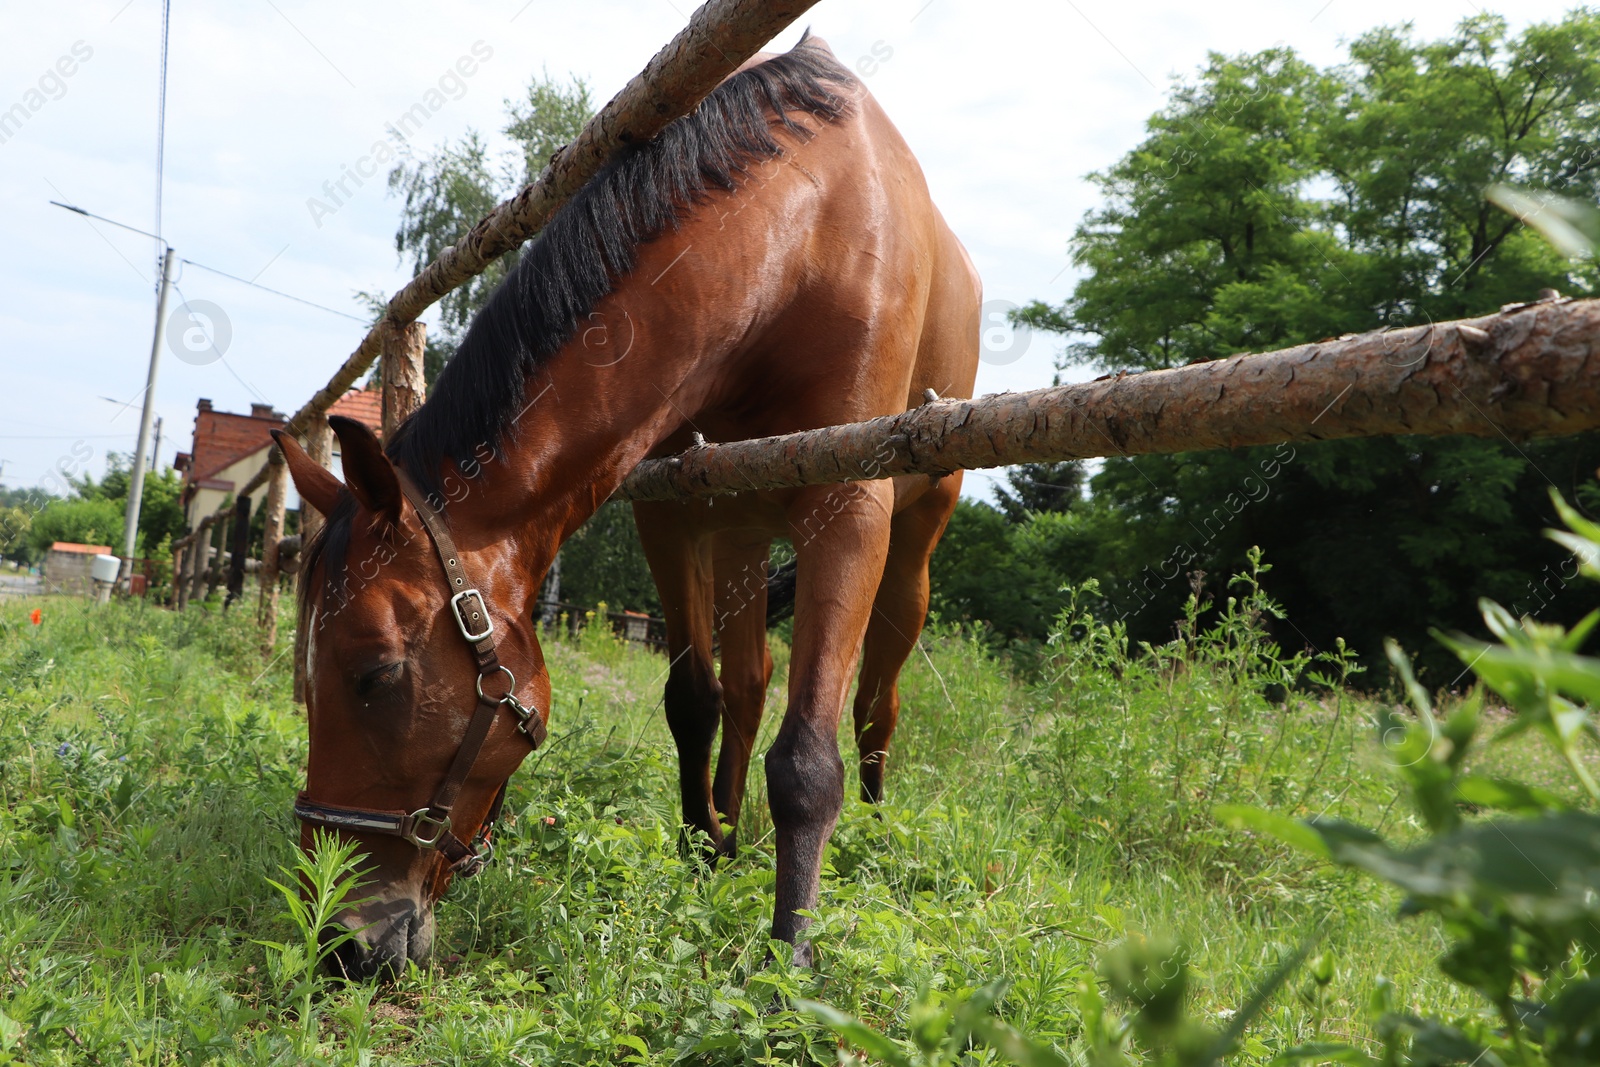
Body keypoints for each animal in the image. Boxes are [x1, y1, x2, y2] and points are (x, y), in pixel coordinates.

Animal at [273, 35, 972, 979]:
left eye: (375, 675)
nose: (342, 943)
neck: (803, 231)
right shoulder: (671, 510)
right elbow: (691, 699)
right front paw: (701, 850)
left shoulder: (847, 507)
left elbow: (804, 759)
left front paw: (789, 959)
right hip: (741, 529)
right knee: (746, 688)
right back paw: (731, 833)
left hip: (913, 539)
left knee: (876, 701)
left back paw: (873, 824)